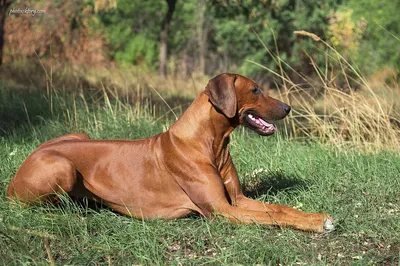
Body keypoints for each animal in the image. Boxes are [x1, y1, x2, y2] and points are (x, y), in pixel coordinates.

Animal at [7, 74, 332, 232]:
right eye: (255, 90)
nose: (288, 108)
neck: (210, 143)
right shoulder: (222, 211)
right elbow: (273, 218)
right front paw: (315, 224)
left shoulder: (237, 200)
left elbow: (279, 209)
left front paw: (316, 216)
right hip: (61, 168)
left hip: (80, 135)